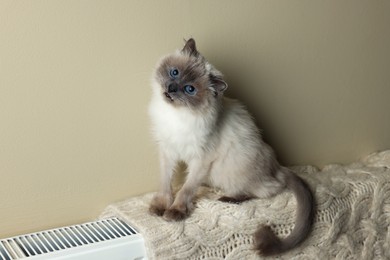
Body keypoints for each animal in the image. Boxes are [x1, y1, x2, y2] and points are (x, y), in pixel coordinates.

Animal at [148, 38, 316, 256]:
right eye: (174, 72)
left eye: (190, 89)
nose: (171, 88)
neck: (177, 115)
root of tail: (278, 166)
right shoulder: (167, 152)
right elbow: (165, 184)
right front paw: (160, 207)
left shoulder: (201, 160)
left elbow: (186, 189)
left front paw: (175, 211)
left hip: (232, 171)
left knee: (267, 189)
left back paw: (229, 199)